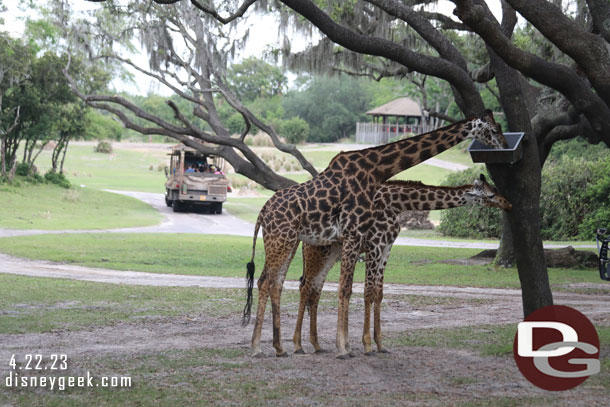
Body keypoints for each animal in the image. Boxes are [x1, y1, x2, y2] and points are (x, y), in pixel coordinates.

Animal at [292, 175, 510, 356]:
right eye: (491, 194)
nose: (508, 204)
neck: (395, 204)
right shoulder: (375, 245)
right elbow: (368, 292)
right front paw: (367, 345)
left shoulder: (386, 247)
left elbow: (379, 293)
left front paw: (380, 345)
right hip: (318, 251)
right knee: (306, 287)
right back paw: (298, 345)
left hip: (331, 253)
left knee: (315, 289)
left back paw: (316, 345)